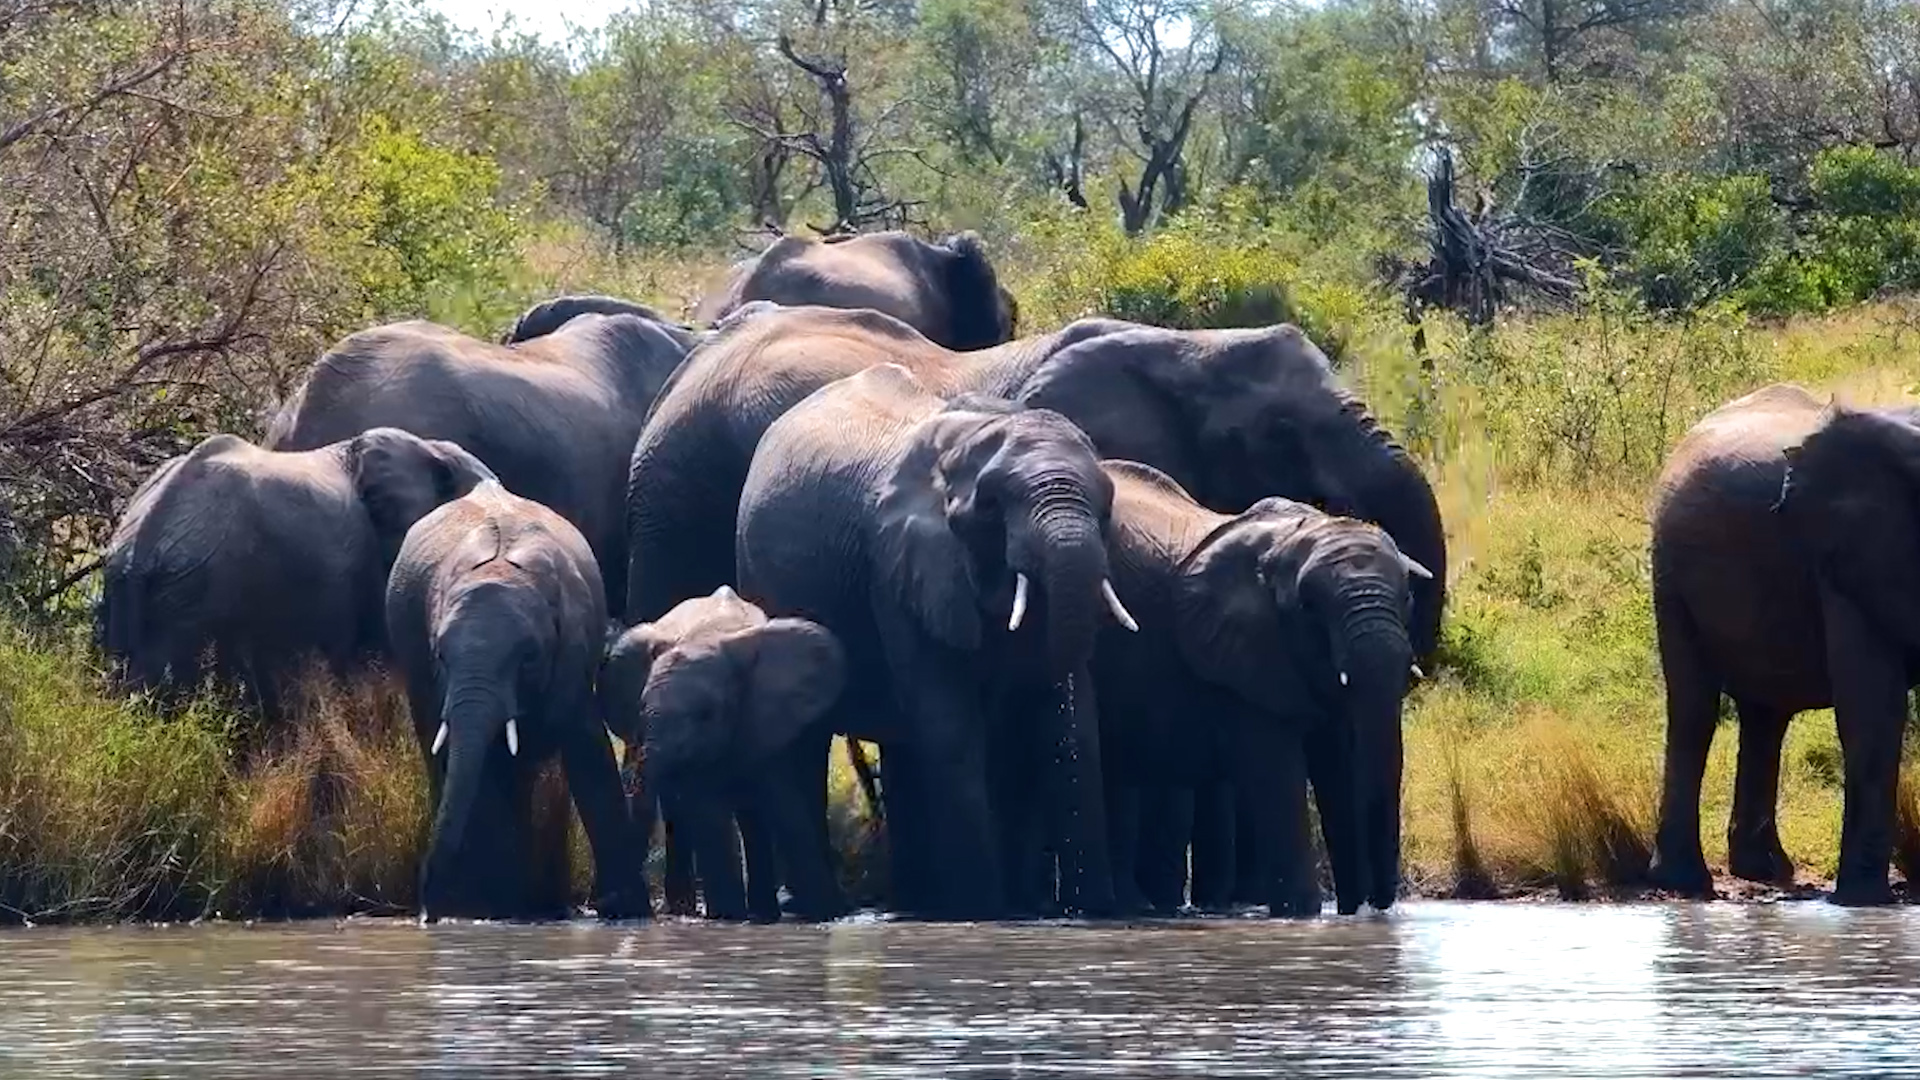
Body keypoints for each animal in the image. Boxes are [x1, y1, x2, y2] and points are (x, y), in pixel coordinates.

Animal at [385, 480, 647, 921]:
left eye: (528, 657)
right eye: (441, 656)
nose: (427, 913)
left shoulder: (572, 653)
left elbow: (589, 756)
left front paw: (626, 911)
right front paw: (496, 909)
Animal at [600, 585, 848, 922]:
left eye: (707, 714)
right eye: (640, 710)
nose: (608, 906)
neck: (709, 635)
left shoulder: (764, 714)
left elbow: (784, 802)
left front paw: (824, 915)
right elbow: (709, 811)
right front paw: (729, 916)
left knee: (751, 814)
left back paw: (761, 913)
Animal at [735, 364, 1139, 920]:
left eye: (1106, 505)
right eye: (990, 506)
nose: (1088, 907)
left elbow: (1069, 727)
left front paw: (1070, 911)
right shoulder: (897, 568)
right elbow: (951, 728)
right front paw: (984, 913)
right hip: (763, 579)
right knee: (804, 745)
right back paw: (822, 909)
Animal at [1091, 461, 1423, 917]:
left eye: (1407, 596)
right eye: (1307, 607)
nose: (1378, 907)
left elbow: (1338, 767)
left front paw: (1348, 917)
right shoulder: (1239, 661)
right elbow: (1277, 775)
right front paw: (1302, 913)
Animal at [1650, 383, 1920, 905]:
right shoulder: (1847, 559)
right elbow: (1873, 712)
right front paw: (1863, 901)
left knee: (1764, 717)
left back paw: (1764, 870)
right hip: (1670, 574)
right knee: (1694, 710)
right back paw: (1686, 883)